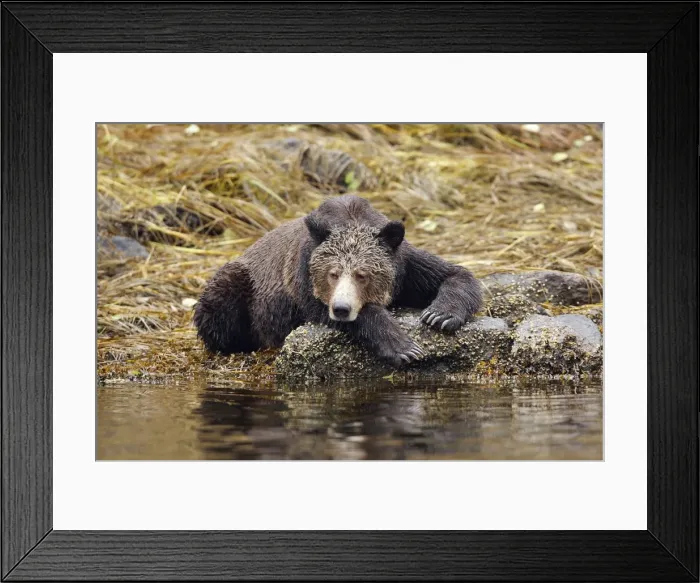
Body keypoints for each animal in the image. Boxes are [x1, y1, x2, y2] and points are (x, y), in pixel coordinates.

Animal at [194, 195, 482, 367]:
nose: (342, 308)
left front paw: (440, 315)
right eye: (332, 273)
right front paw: (403, 347)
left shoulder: (406, 266)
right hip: (246, 285)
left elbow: (453, 274)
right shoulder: (303, 275)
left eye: (362, 274)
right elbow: (323, 309)